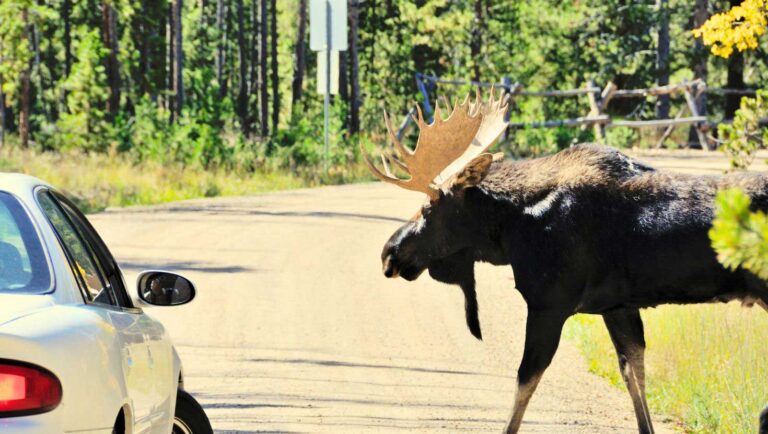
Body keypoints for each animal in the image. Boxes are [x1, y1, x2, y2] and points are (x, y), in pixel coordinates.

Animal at [364, 89, 768, 434]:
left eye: (429, 207)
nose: (389, 253)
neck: (512, 228)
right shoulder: (618, 306)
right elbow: (634, 375)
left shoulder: (549, 303)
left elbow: (524, 382)